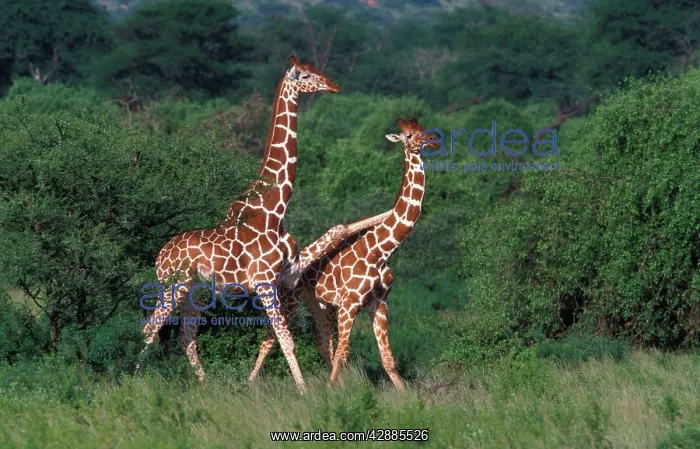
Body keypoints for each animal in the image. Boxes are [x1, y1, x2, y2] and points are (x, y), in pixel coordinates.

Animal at [136, 56, 340, 392]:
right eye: (305, 75)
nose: (333, 85)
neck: (274, 210)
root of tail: (159, 256)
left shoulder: (285, 278)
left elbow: (279, 337)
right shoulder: (264, 282)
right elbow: (286, 339)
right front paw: (303, 391)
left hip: (195, 292)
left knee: (185, 337)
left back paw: (206, 387)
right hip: (173, 286)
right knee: (150, 328)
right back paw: (134, 378)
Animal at [249, 117, 438, 390]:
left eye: (424, 128)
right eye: (410, 135)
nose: (433, 140)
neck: (381, 250)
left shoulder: (379, 303)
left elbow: (387, 359)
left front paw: (406, 396)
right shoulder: (349, 303)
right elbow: (343, 351)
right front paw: (331, 391)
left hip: (319, 304)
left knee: (321, 343)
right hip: (290, 297)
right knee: (270, 338)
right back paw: (250, 383)